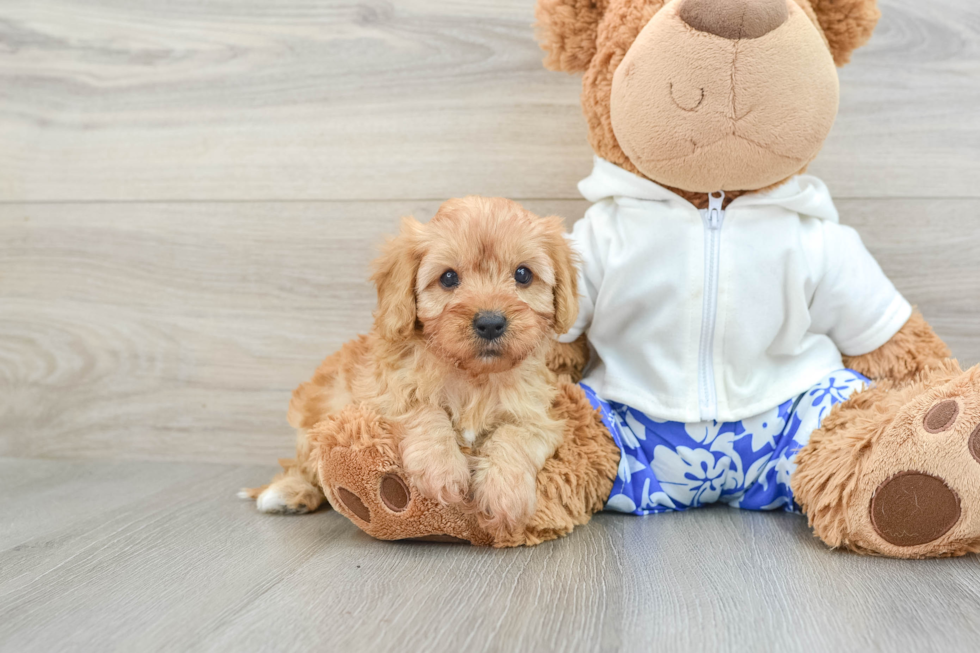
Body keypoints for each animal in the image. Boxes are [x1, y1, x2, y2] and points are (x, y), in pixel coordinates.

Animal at [242, 195, 580, 536]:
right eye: (448, 278)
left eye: (523, 274)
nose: (490, 323)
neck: (473, 376)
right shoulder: (379, 393)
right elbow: (421, 408)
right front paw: (442, 469)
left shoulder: (539, 416)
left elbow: (515, 436)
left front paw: (503, 494)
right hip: (320, 413)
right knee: (305, 467)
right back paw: (288, 493)